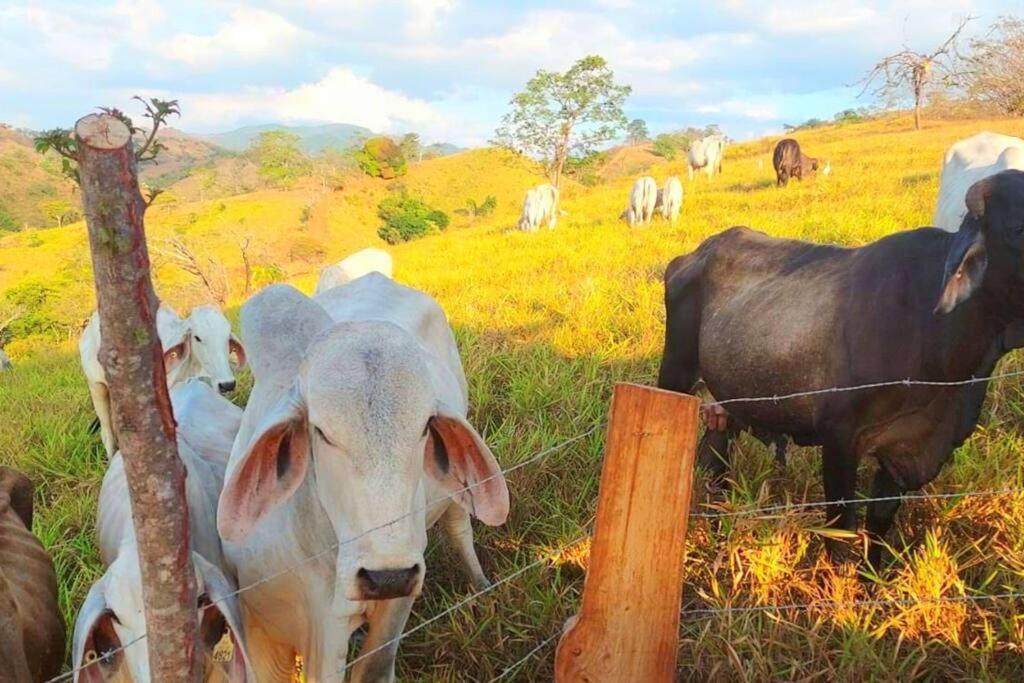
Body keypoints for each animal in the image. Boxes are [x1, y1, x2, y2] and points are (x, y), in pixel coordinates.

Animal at [215, 274, 507, 679]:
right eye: (321, 432)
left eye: (425, 426)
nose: (388, 575)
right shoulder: (263, 631)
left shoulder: (393, 607)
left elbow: (373, 669)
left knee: (459, 529)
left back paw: (481, 583)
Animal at [655, 171, 1024, 565]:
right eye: (1018, 227)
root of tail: (694, 255)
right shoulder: (840, 440)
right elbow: (842, 532)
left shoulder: (899, 451)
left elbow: (879, 523)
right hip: (675, 376)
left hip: (725, 405)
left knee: (715, 460)